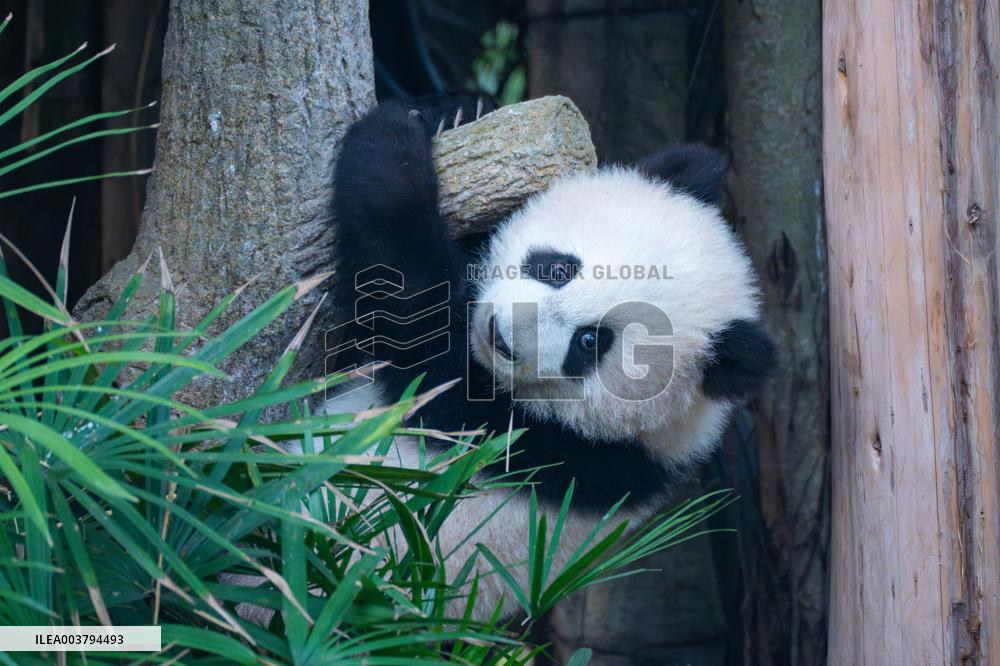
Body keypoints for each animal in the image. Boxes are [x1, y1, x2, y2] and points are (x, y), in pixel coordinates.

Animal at [325, 93, 776, 620]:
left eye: (590, 342)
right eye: (560, 268)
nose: (502, 337)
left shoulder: (532, 443)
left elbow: (410, 313)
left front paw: (391, 145)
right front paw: (453, 111)